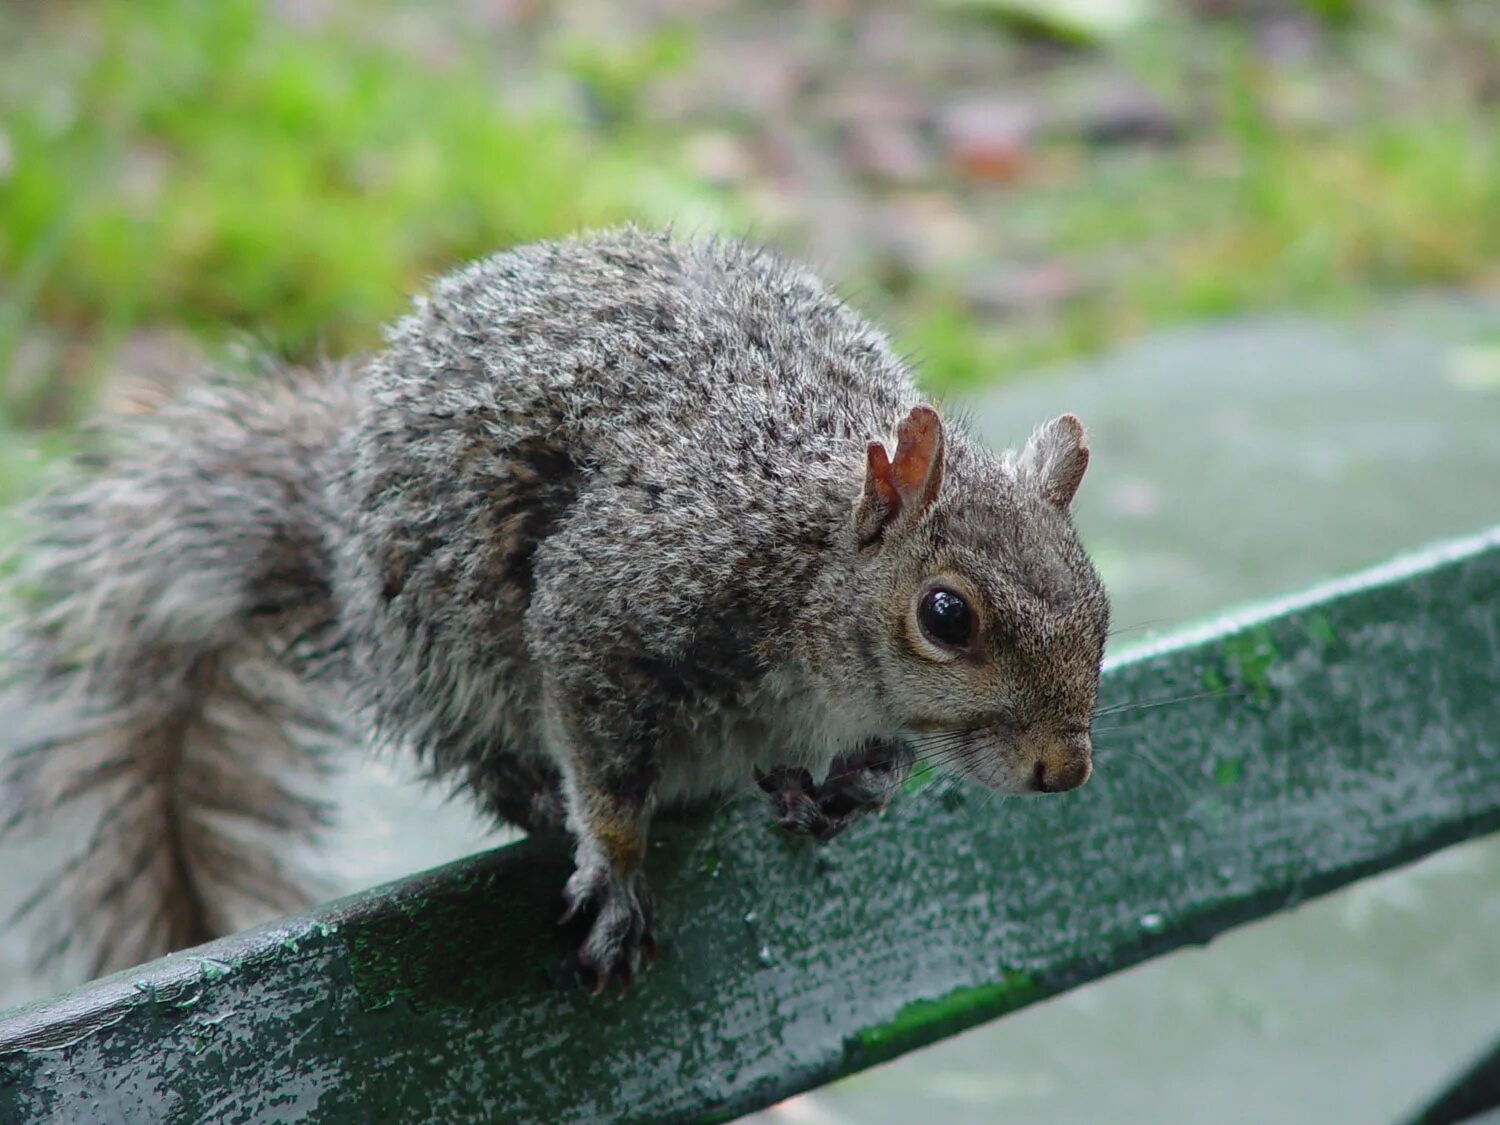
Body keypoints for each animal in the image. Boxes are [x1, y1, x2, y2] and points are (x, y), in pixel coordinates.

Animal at [0, 231, 1104, 996]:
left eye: (1097, 600)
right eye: (946, 615)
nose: (1064, 769)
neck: (802, 550)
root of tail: (336, 527)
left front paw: (862, 786)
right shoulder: (612, 608)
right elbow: (601, 759)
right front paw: (616, 871)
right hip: (446, 665)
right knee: (488, 757)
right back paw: (544, 797)